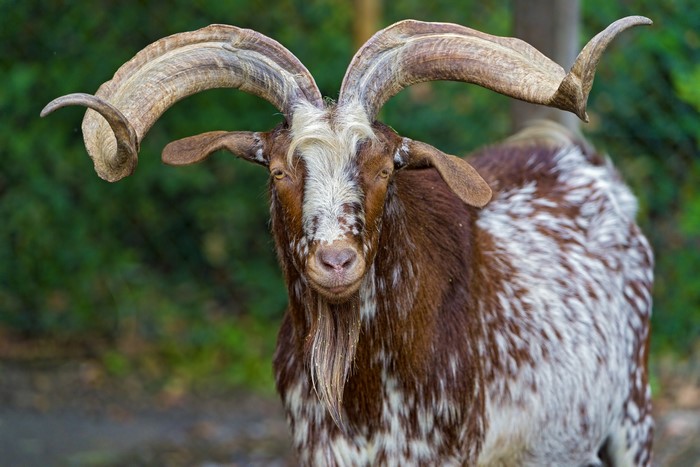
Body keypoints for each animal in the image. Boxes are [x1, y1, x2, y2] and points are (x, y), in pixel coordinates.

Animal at [42, 16, 654, 466]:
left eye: (386, 168)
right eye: (279, 170)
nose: (336, 261)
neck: (363, 392)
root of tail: (582, 162)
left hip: (633, 416)